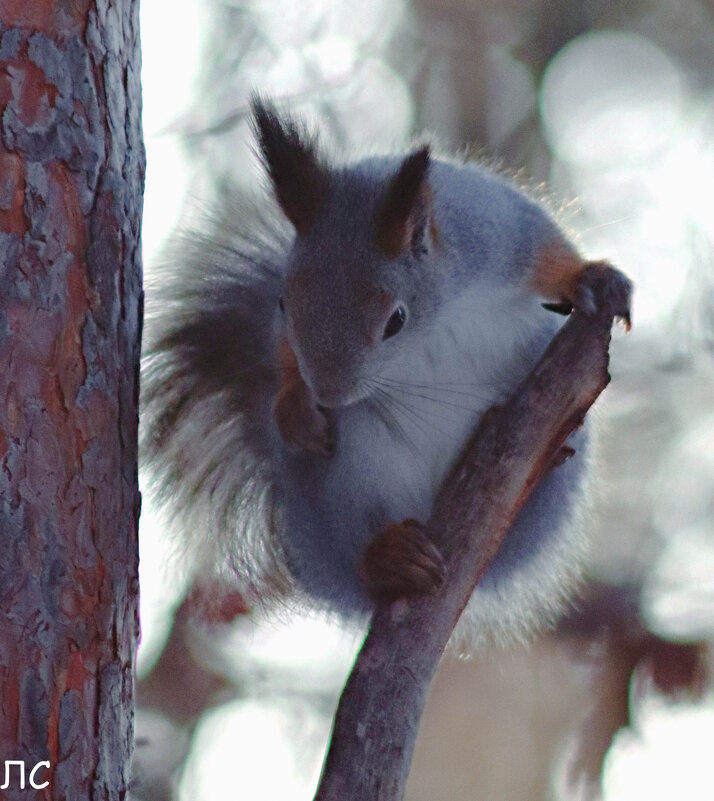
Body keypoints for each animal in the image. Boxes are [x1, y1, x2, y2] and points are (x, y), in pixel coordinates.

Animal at [142, 95, 632, 644]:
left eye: (395, 320)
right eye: (285, 304)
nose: (329, 396)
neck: (436, 317)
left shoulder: (498, 232)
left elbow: (550, 252)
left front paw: (594, 278)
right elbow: (281, 353)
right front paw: (293, 407)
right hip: (345, 474)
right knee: (360, 549)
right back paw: (387, 559)